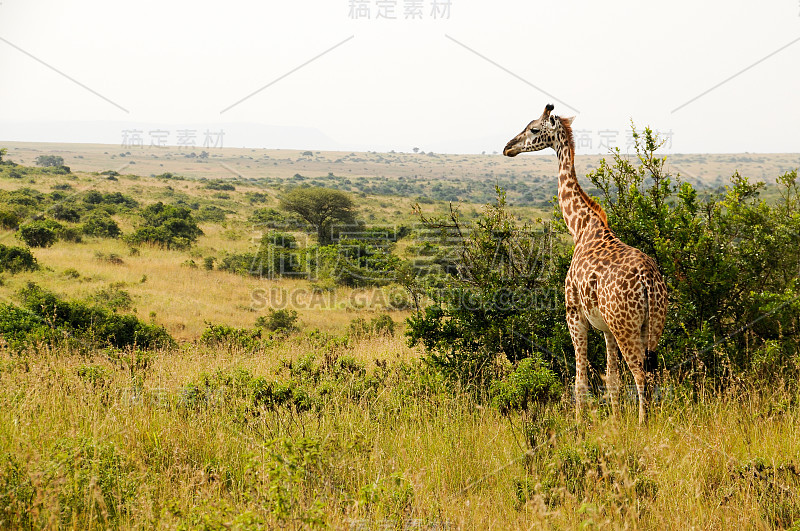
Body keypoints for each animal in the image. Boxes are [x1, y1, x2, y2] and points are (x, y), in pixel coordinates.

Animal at [506, 106, 668, 426]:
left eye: (533, 130)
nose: (508, 147)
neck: (579, 227)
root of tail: (648, 281)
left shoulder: (574, 314)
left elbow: (580, 379)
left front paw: (580, 423)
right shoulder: (605, 327)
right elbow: (612, 379)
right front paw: (615, 422)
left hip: (626, 326)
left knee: (641, 375)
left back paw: (643, 424)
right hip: (652, 326)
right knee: (652, 374)